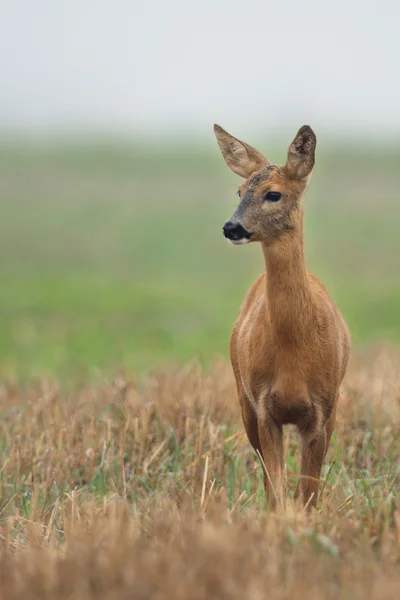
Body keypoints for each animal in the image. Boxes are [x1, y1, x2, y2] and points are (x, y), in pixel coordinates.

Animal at [212, 124, 350, 508]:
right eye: (239, 190)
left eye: (273, 194)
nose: (231, 227)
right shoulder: (263, 407)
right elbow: (277, 495)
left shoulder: (322, 409)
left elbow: (308, 495)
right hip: (242, 396)